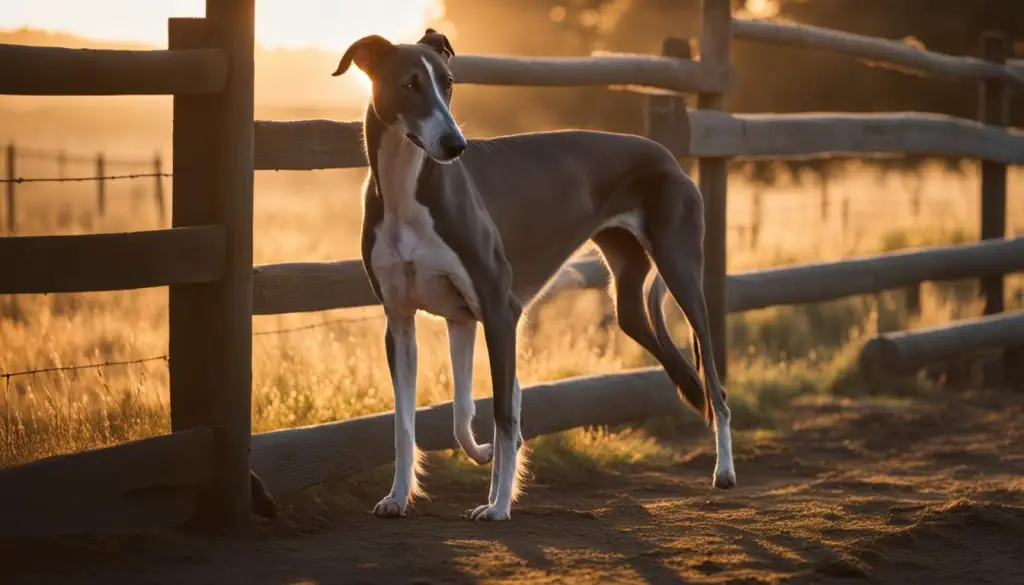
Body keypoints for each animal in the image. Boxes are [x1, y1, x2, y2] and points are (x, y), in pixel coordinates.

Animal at [335, 28, 737, 522]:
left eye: (448, 83)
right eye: (409, 84)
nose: (455, 145)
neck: (406, 190)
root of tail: (666, 153)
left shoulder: (498, 310)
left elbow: (504, 413)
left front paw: (498, 504)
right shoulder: (419, 320)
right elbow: (434, 417)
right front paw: (402, 494)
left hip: (682, 275)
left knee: (716, 384)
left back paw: (724, 471)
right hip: (628, 305)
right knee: (684, 367)